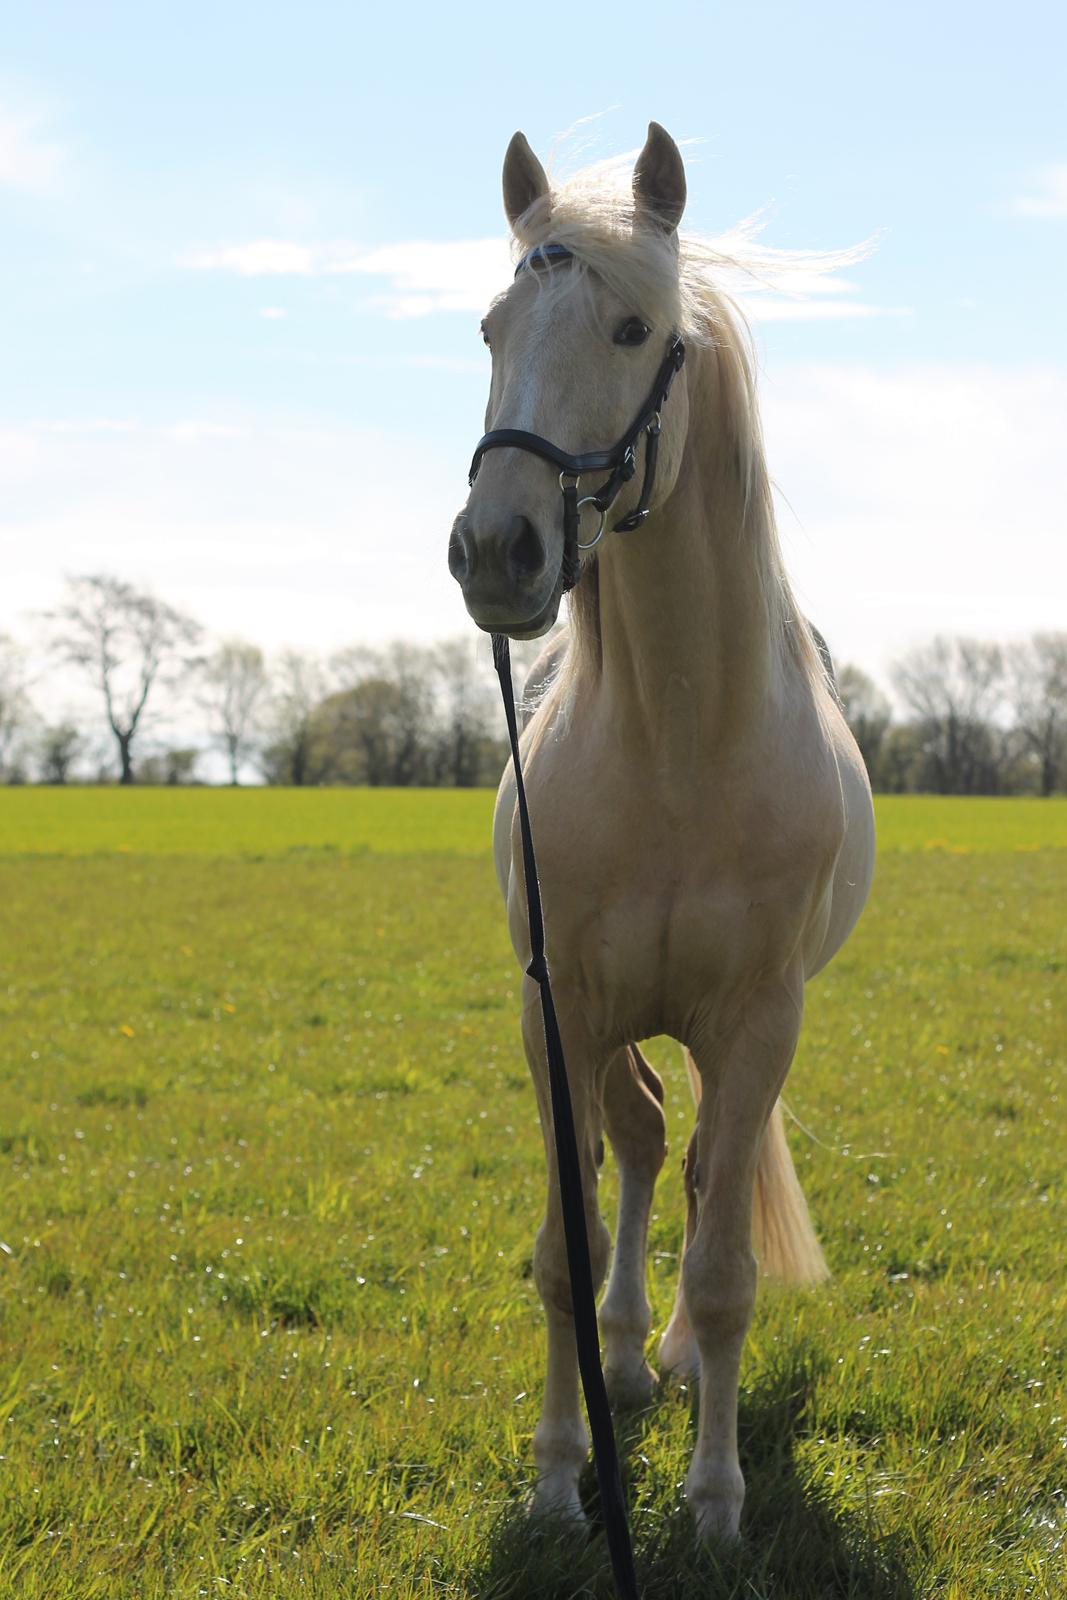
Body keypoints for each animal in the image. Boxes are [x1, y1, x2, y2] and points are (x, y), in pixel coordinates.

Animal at [451, 128, 876, 1548]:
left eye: (635, 329)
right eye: (490, 328)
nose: (496, 552)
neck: (679, 749)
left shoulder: (754, 1024)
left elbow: (729, 1260)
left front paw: (714, 1497)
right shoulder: (558, 1010)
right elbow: (562, 1245)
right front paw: (553, 1473)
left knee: (688, 1175)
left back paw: (674, 1359)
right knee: (636, 1147)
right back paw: (630, 1361)